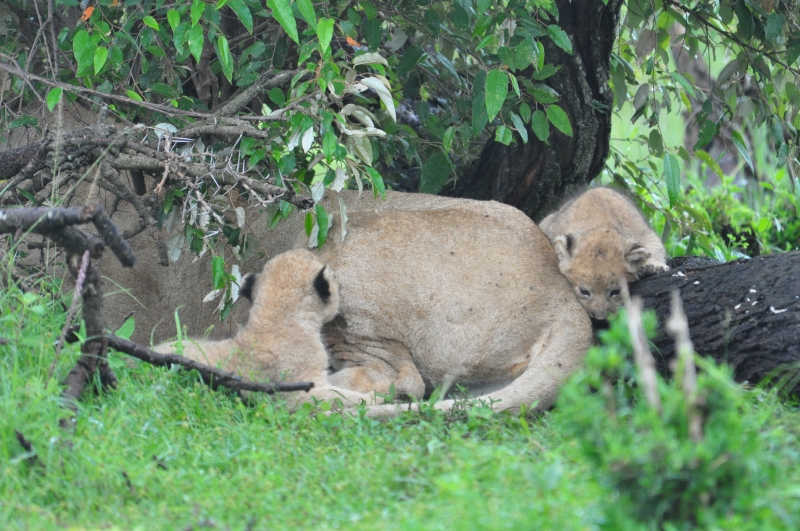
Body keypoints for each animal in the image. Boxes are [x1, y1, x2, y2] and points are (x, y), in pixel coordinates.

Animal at [153, 249, 379, 409]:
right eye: (334, 279)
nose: (340, 286)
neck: (275, 318)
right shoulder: (300, 384)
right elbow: (334, 397)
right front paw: (371, 398)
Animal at [538, 187, 670, 320]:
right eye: (584, 291)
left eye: (616, 291)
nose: (600, 318)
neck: (601, 225)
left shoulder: (645, 232)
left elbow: (655, 248)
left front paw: (653, 266)